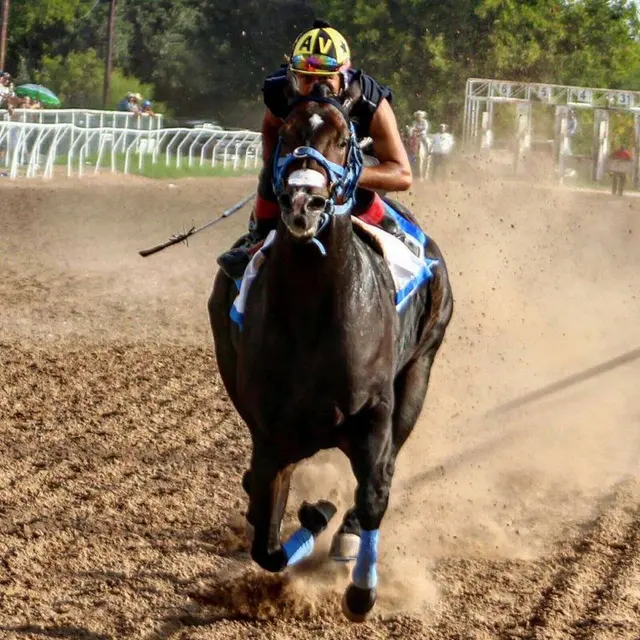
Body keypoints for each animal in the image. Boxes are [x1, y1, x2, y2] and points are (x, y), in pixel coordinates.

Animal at [208, 82, 453, 621]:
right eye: (287, 132)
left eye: (344, 140)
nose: (304, 202)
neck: (312, 310)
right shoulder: (272, 432)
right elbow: (267, 544)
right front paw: (313, 514)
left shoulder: (374, 411)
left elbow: (375, 491)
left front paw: (361, 590)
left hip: (420, 368)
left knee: (385, 470)